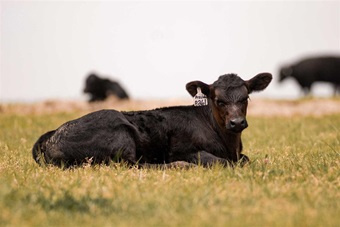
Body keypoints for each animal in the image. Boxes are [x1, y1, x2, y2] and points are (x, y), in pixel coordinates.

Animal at [33, 72, 272, 168]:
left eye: (246, 97)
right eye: (218, 100)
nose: (237, 122)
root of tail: (52, 134)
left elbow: (245, 160)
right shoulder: (184, 150)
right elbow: (221, 162)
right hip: (120, 133)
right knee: (131, 166)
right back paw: (180, 166)